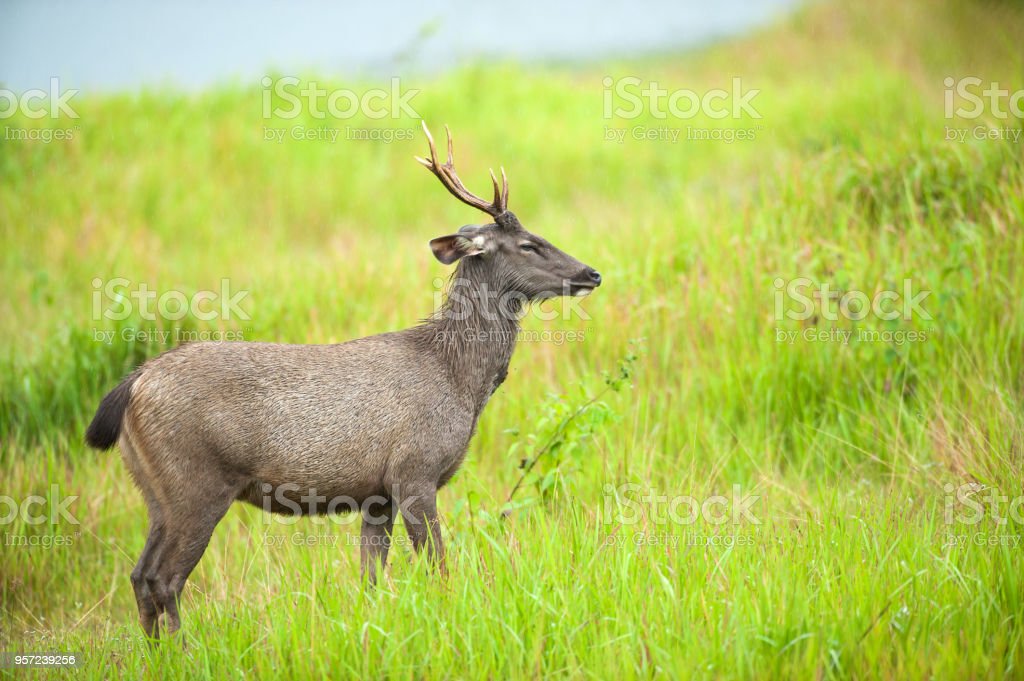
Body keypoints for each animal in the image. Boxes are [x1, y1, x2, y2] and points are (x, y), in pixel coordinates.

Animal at [86, 122, 598, 639]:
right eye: (529, 244)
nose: (591, 272)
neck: (459, 379)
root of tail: (132, 385)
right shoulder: (415, 470)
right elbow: (437, 567)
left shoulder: (376, 494)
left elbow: (370, 580)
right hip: (196, 481)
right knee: (165, 577)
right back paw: (185, 649)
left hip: (154, 488)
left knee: (140, 574)